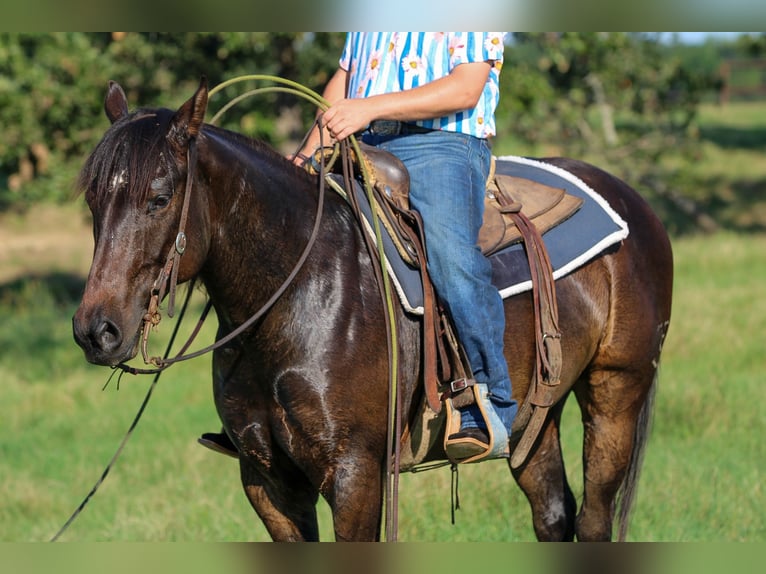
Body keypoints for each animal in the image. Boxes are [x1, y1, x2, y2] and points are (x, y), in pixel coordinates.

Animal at [70, 79, 672, 544]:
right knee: (552, 513)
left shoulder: (355, 474)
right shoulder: (267, 480)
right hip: (536, 414)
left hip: (616, 391)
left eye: (159, 199)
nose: (96, 331)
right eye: (94, 201)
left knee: (593, 518)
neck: (298, 291)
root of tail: (634, 203)